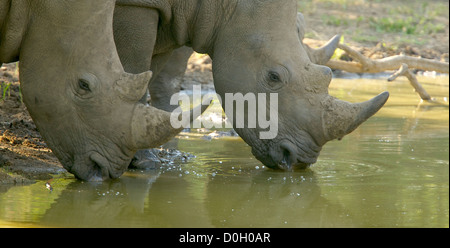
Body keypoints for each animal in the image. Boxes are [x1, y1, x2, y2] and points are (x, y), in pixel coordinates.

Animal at [114, 0, 388, 172]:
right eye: (274, 77)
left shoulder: (181, 17)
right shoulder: (137, 5)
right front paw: (145, 162)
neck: (224, 6)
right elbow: (135, 68)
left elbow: (151, 71)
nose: (298, 161)